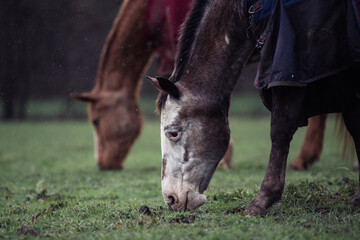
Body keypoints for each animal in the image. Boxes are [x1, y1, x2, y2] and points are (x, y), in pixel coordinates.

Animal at [150, 0, 360, 214]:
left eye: (173, 133)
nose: (170, 198)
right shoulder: (343, 74)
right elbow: (354, 125)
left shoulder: (289, 74)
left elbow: (280, 131)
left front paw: (262, 200)